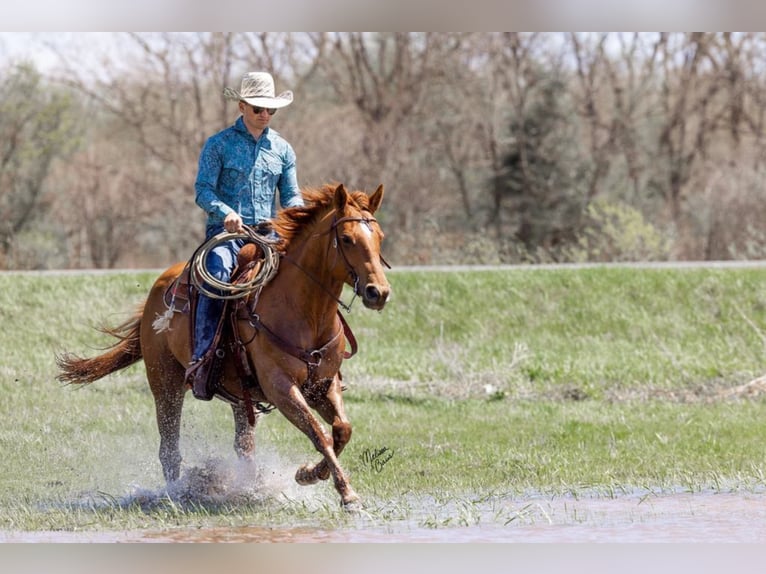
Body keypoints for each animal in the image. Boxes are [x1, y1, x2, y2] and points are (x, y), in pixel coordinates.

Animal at [55, 183, 390, 508]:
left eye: (380, 238)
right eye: (346, 238)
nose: (379, 292)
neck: (306, 313)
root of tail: (159, 287)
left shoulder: (324, 384)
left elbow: (342, 430)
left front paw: (310, 473)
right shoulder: (281, 388)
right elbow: (319, 433)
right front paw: (345, 493)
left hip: (239, 396)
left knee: (244, 446)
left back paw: (249, 488)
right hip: (165, 382)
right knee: (169, 447)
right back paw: (178, 493)